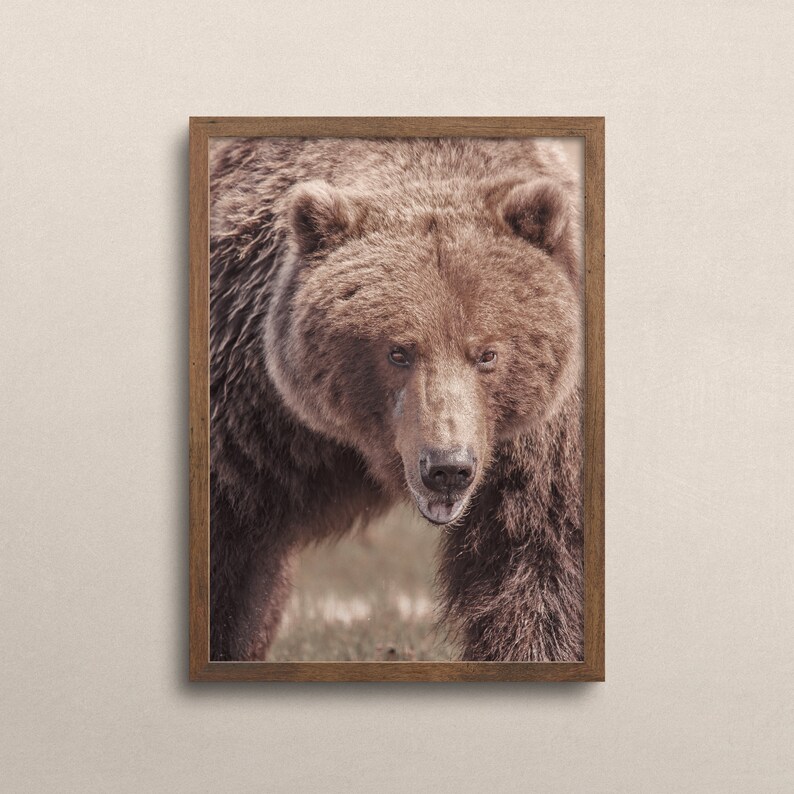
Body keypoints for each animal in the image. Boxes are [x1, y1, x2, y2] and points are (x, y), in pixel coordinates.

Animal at [209, 136, 584, 662]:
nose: (447, 467)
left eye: (487, 353)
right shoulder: (247, 409)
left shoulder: (541, 447)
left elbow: (538, 558)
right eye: (398, 351)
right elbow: (227, 559)